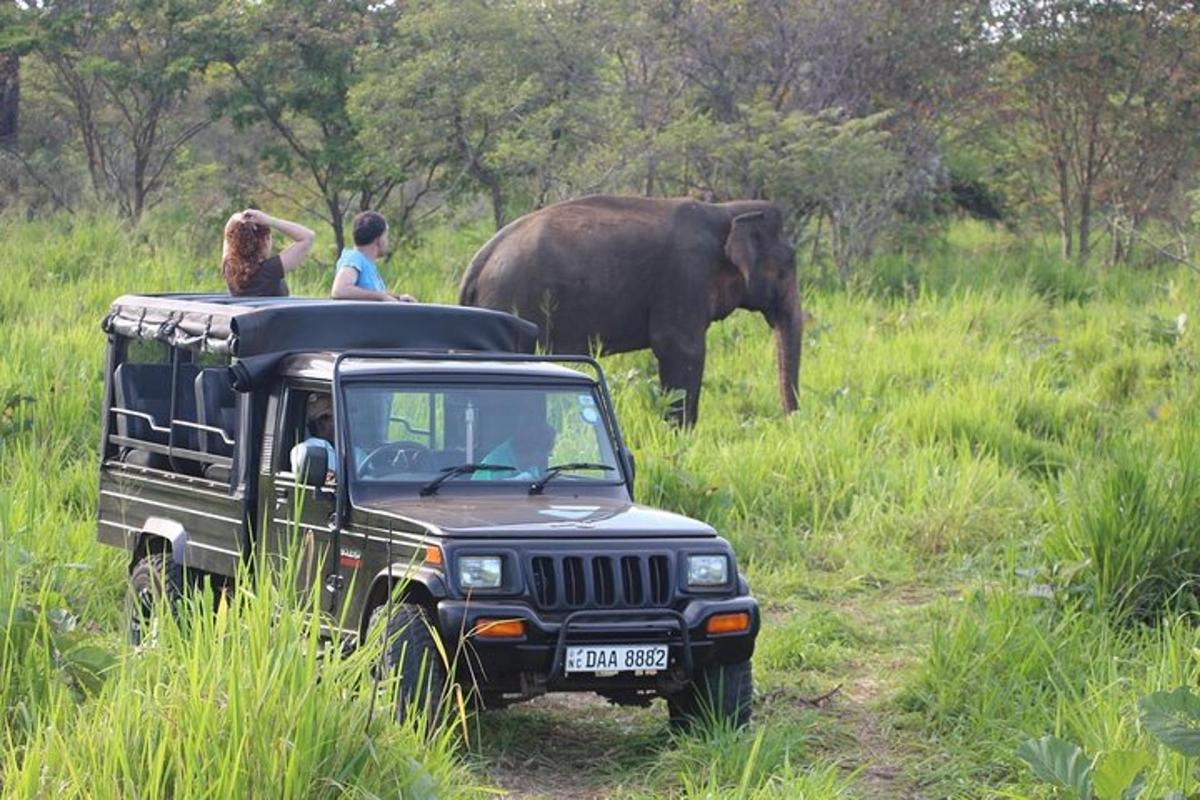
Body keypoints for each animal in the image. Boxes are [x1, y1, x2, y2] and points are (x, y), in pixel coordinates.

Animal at [458, 194, 806, 424]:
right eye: (786, 268)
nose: (790, 422)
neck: (727, 210)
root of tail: (478, 262)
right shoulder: (685, 276)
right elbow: (681, 349)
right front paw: (681, 434)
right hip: (516, 302)